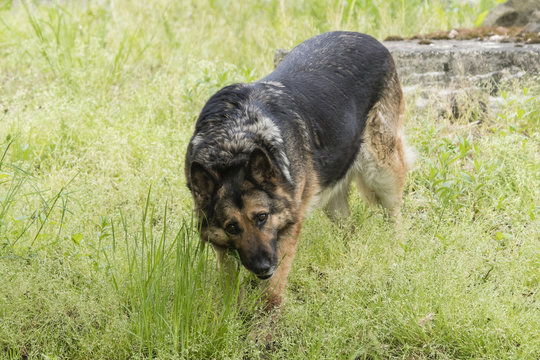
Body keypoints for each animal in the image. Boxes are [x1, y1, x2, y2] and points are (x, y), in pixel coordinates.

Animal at [185, 31, 414, 310]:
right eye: (232, 227)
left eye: (262, 217)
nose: (262, 267)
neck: (233, 142)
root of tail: (369, 38)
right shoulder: (222, 245)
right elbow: (230, 286)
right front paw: (231, 315)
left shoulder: (287, 227)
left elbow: (273, 290)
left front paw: (266, 319)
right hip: (333, 199)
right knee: (349, 229)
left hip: (383, 172)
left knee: (395, 218)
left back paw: (398, 254)